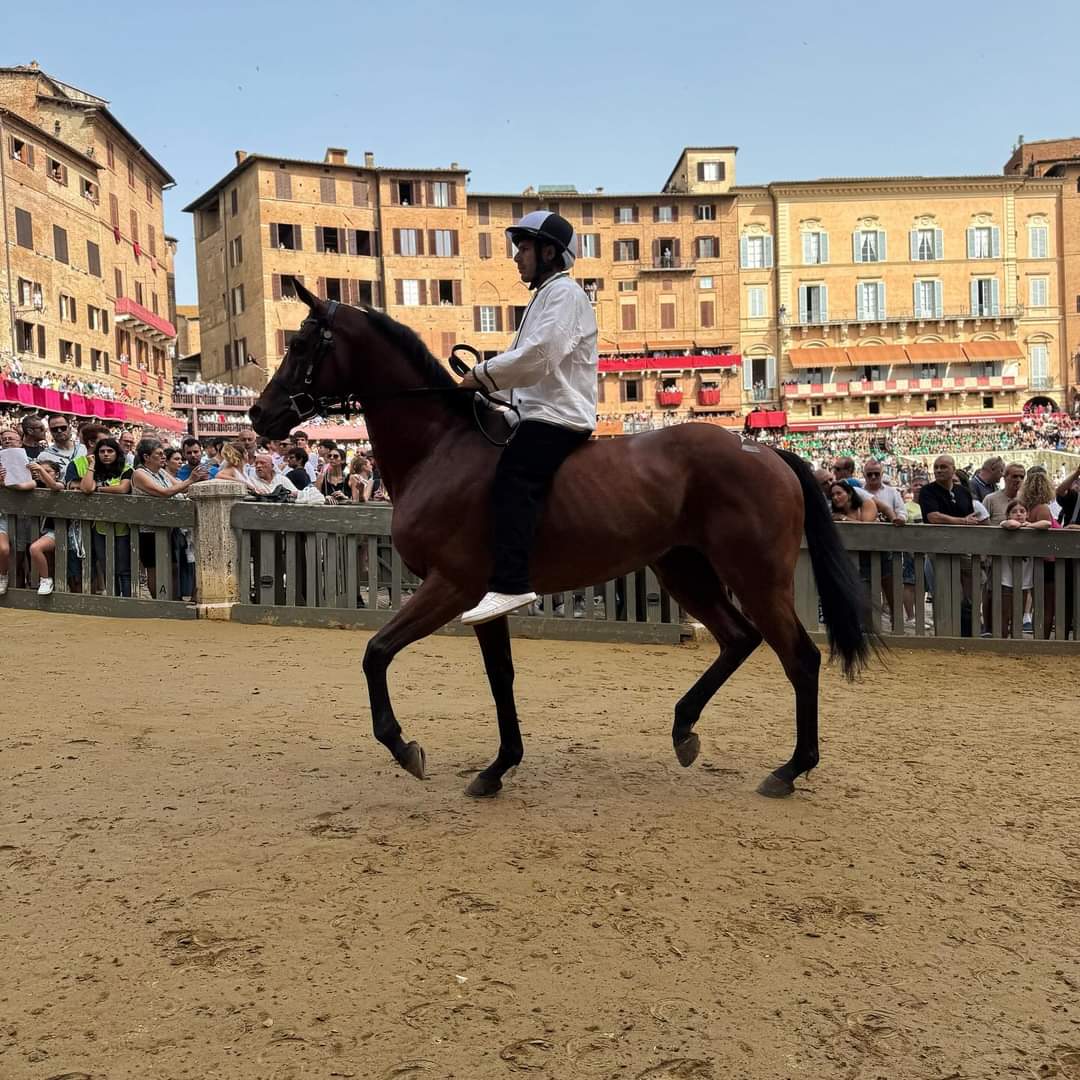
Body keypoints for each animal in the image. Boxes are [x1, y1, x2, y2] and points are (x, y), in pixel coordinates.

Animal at [248, 282, 872, 799]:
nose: (258, 413)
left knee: (799, 657)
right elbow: (500, 678)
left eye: (301, 344)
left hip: (755, 576)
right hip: (684, 569)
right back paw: (684, 729)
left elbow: (376, 653)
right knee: (739, 639)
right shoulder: (483, 600)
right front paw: (498, 767)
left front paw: (404, 746)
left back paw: (790, 768)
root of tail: (765, 451)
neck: (441, 448)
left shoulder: (451, 586)